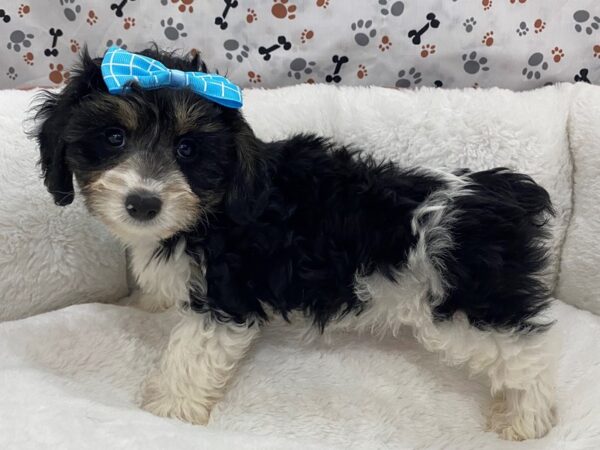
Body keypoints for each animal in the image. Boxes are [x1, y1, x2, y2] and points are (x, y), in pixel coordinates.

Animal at [34, 48, 556, 440]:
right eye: (113, 137)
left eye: (187, 149)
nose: (143, 203)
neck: (210, 210)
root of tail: (498, 194)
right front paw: (147, 302)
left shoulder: (224, 298)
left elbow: (189, 356)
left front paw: (167, 412)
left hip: (469, 308)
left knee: (526, 358)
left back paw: (526, 421)